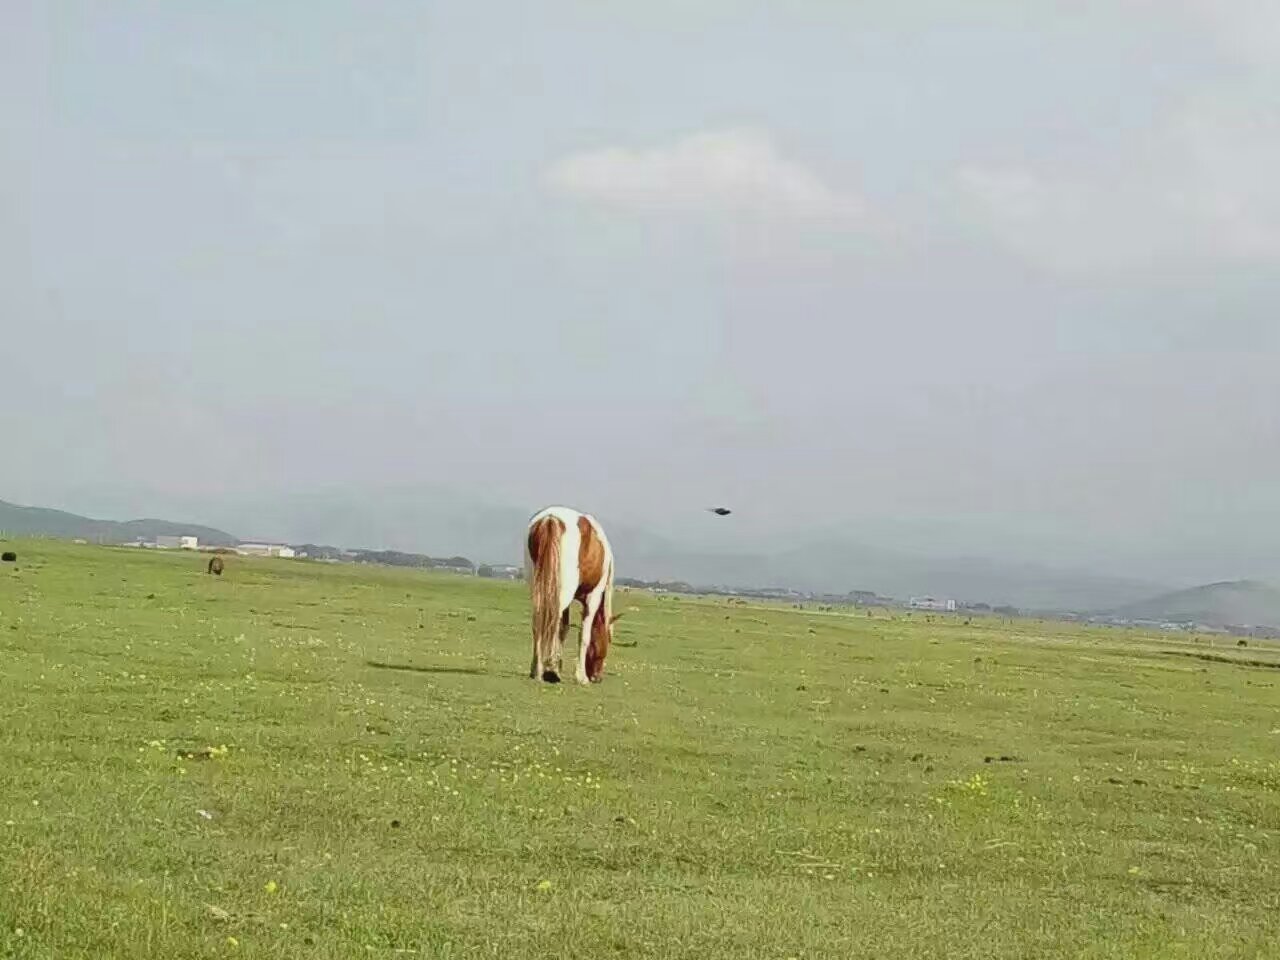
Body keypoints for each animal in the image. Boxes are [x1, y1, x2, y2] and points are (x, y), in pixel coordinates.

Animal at [519, 506, 619, 686]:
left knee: (539, 621)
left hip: (539, 588)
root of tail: (550, 519)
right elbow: (583, 635)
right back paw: (549, 669)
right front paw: (580, 676)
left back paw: (537, 669)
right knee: (551, 620)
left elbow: (563, 628)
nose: (597, 677)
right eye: (606, 641)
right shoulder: (593, 597)